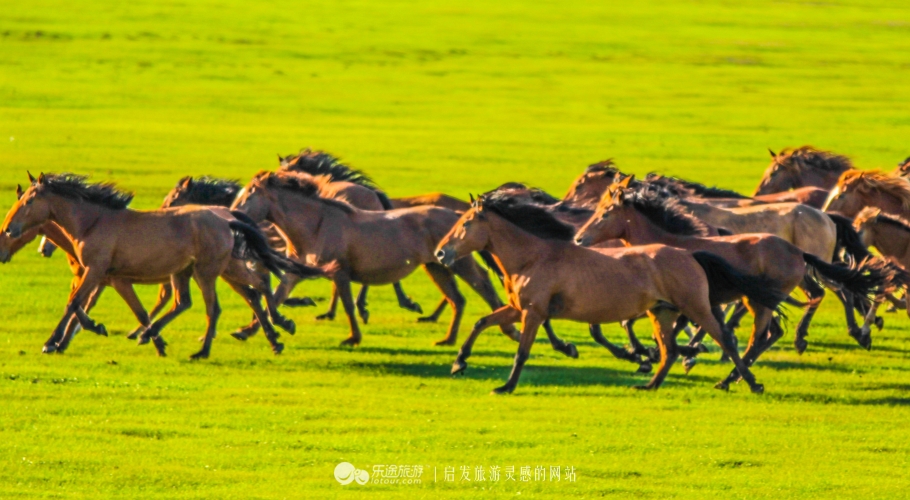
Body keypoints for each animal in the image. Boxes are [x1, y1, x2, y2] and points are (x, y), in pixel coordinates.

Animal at [1, 174, 330, 358]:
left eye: (28, 201)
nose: (8, 230)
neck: (93, 222)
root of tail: (226, 217)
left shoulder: (97, 272)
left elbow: (75, 304)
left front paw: (67, 338)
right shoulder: (111, 277)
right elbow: (109, 308)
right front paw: (150, 340)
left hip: (206, 272)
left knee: (217, 305)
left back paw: (204, 350)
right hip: (212, 269)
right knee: (250, 289)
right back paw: (276, 336)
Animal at [230, 170, 520, 346]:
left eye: (248, 195)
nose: (232, 215)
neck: (317, 224)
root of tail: (458, 216)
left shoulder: (339, 272)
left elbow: (347, 305)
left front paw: (353, 338)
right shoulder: (296, 272)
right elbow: (275, 298)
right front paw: (248, 330)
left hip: (459, 263)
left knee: (483, 285)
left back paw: (511, 330)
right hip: (436, 266)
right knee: (457, 299)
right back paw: (447, 340)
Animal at [438, 191, 796, 394]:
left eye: (466, 223)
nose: (442, 253)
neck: (532, 257)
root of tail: (690, 254)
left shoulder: (534, 313)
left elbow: (522, 352)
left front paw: (506, 386)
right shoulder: (518, 308)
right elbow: (481, 323)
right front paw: (458, 363)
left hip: (696, 308)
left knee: (726, 339)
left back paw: (746, 382)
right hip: (662, 312)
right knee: (668, 351)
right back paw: (649, 385)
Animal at [576, 182, 896, 376]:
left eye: (605, 214)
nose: (579, 238)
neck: (671, 242)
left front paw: (661, 354)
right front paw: (667, 353)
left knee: (823, 298)